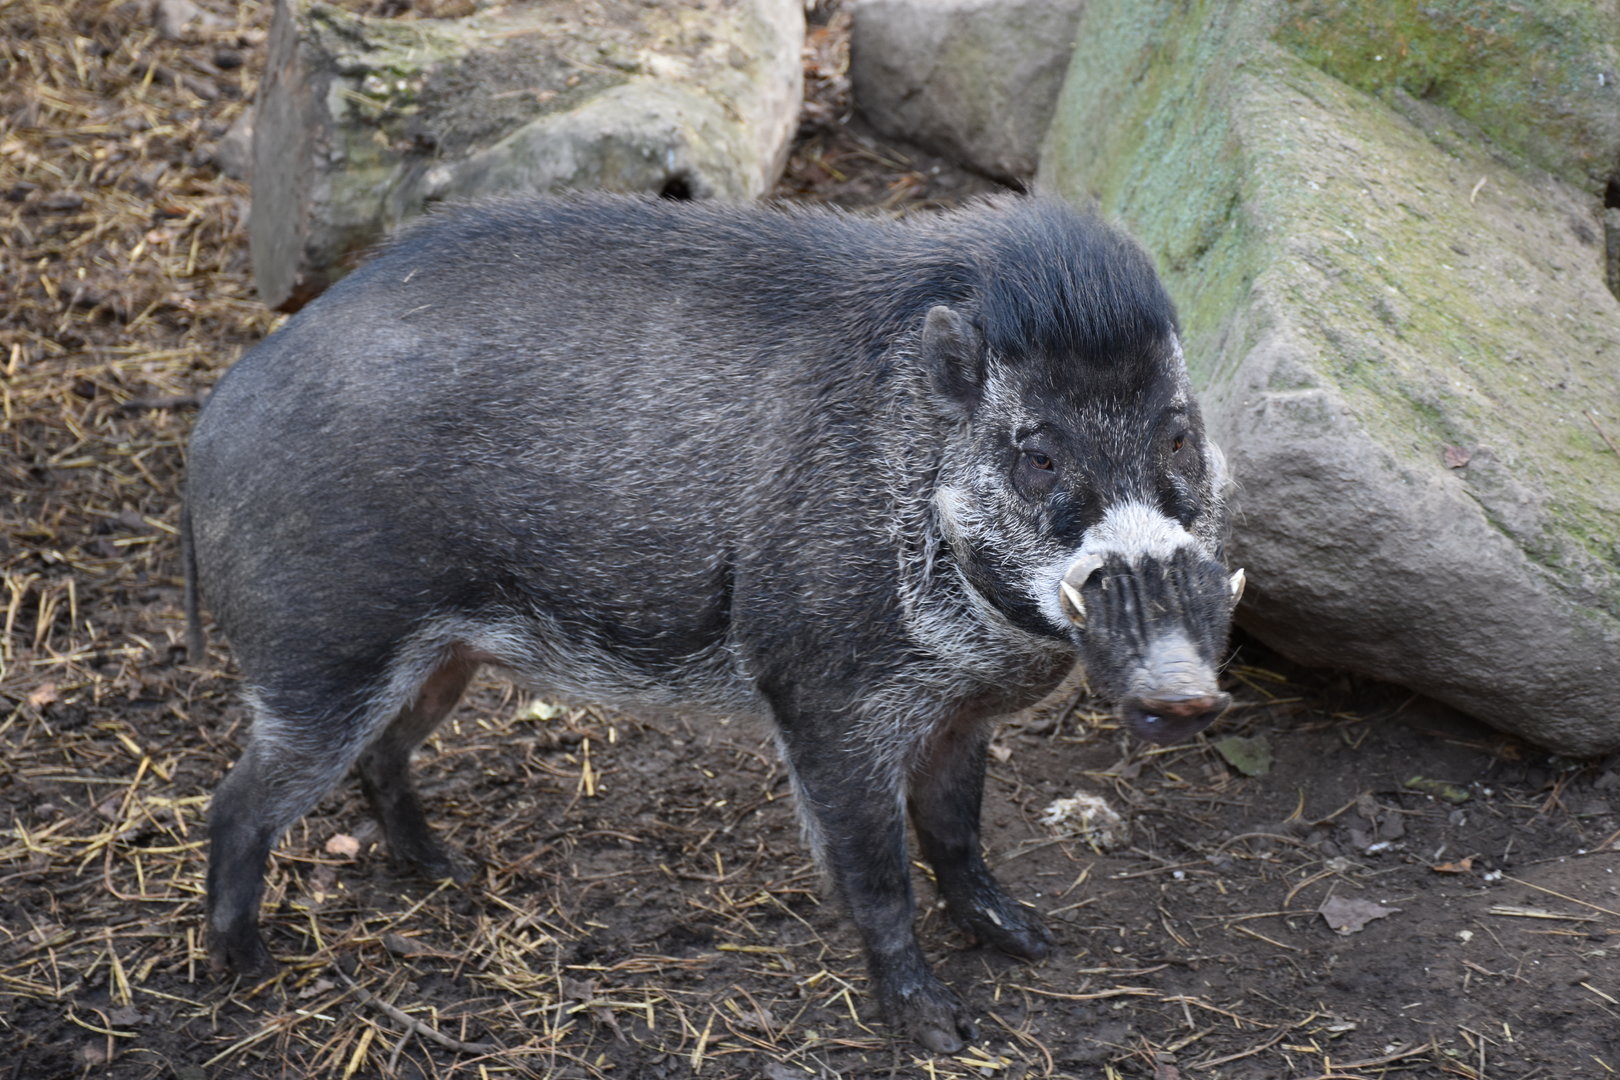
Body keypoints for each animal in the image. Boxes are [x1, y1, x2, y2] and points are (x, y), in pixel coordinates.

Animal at [184, 193, 1242, 1053]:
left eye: (1178, 435)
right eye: (1038, 454)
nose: (1184, 693)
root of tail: (216, 416)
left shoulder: (961, 713)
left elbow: (956, 832)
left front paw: (1030, 941)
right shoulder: (822, 696)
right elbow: (876, 871)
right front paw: (942, 1030)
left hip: (442, 656)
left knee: (382, 755)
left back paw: (453, 873)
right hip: (323, 655)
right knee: (237, 803)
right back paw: (248, 969)